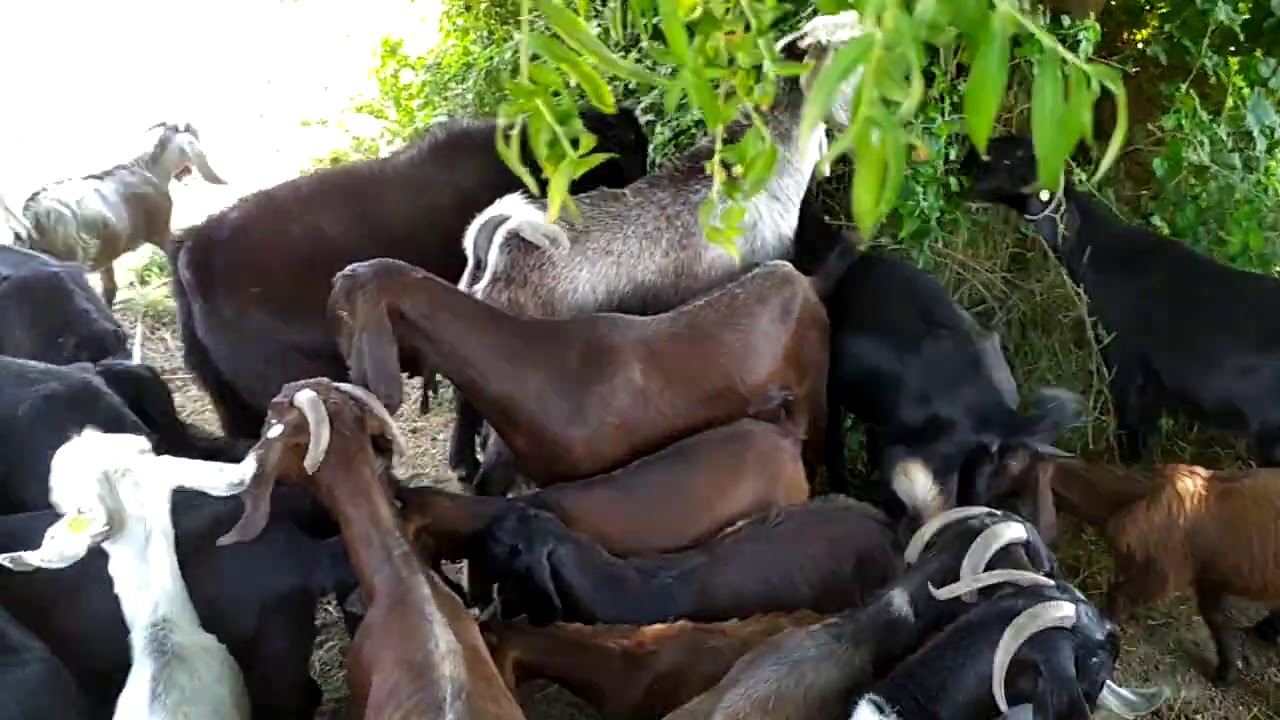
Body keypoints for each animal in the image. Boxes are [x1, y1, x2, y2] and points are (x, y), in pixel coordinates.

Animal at [989, 448, 1280, 686]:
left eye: (1009, 466)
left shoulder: (1162, 573)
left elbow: (1118, 596)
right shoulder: (1207, 576)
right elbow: (1217, 620)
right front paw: (1226, 674)